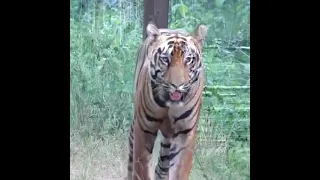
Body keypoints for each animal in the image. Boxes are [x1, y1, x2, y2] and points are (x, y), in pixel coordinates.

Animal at [125, 22, 208, 180]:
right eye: (165, 59)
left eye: (188, 59)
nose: (177, 85)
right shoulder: (144, 128)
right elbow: (141, 167)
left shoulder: (184, 132)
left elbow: (180, 169)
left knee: (162, 166)